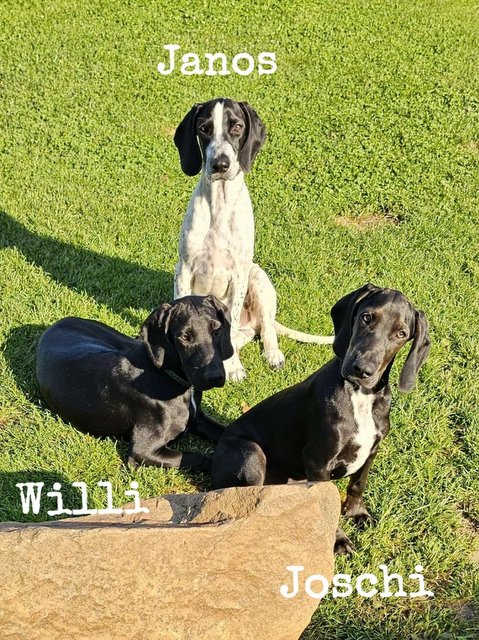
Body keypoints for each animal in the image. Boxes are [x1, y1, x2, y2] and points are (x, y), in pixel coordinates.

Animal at [36, 295, 233, 472]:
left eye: (217, 330)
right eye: (185, 337)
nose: (214, 377)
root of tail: (60, 322)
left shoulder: (198, 418)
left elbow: (225, 430)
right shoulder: (143, 450)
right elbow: (199, 457)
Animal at [173, 97, 333, 382]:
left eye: (236, 127)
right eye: (204, 128)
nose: (220, 164)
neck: (220, 205)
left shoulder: (239, 275)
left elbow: (230, 327)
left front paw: (233, 367)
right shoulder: (183, 270)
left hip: (258, 278)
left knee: (265, 327)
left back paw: (273, 354)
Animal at [212, 284, 431, 553]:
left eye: (401, 333)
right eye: (366, 317)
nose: (362, 369)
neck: (360, 395)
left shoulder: (371, 451)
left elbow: (358, 484)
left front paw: (356, 513)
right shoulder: (318, 460)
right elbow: (326, 501)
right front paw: (338, 540)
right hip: (251, 452)